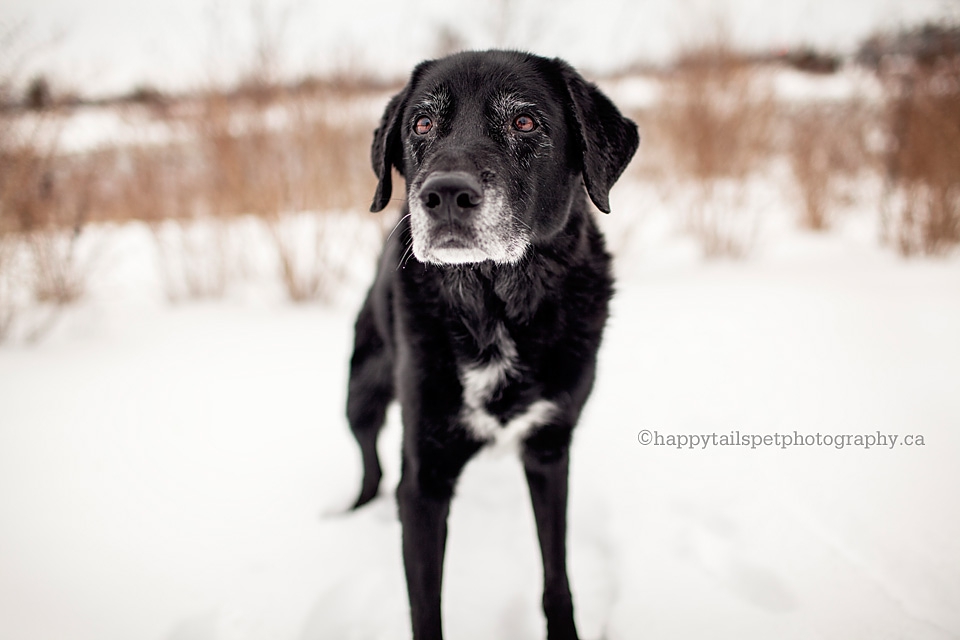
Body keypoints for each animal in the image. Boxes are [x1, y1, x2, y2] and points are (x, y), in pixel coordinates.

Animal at [346, 51, 636, 640]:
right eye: (422, 124)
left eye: (525, 122)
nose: (444, 196)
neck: (493, 305)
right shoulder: (426, 476)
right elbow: (425, 608)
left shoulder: (550, 450)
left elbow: (556, 573)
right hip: (360, 393)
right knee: (371, 464)